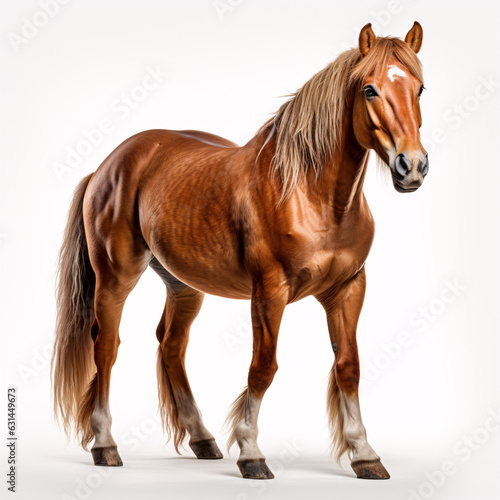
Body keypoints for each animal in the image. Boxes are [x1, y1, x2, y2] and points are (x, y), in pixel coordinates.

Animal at [50, 22, 428, 480]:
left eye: (420, 89)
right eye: (370, 89)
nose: (413, 166)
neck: (313, 196)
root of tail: (106, 166)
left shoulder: (348, 289)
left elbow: (349, 368)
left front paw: (365, 454)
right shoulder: (269, 292)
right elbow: (262, 368)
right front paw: (251, 452)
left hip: (183, 285)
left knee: (171, 345)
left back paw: (202, 438)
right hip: (116, 277)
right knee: (106, 346)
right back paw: (105, 443)